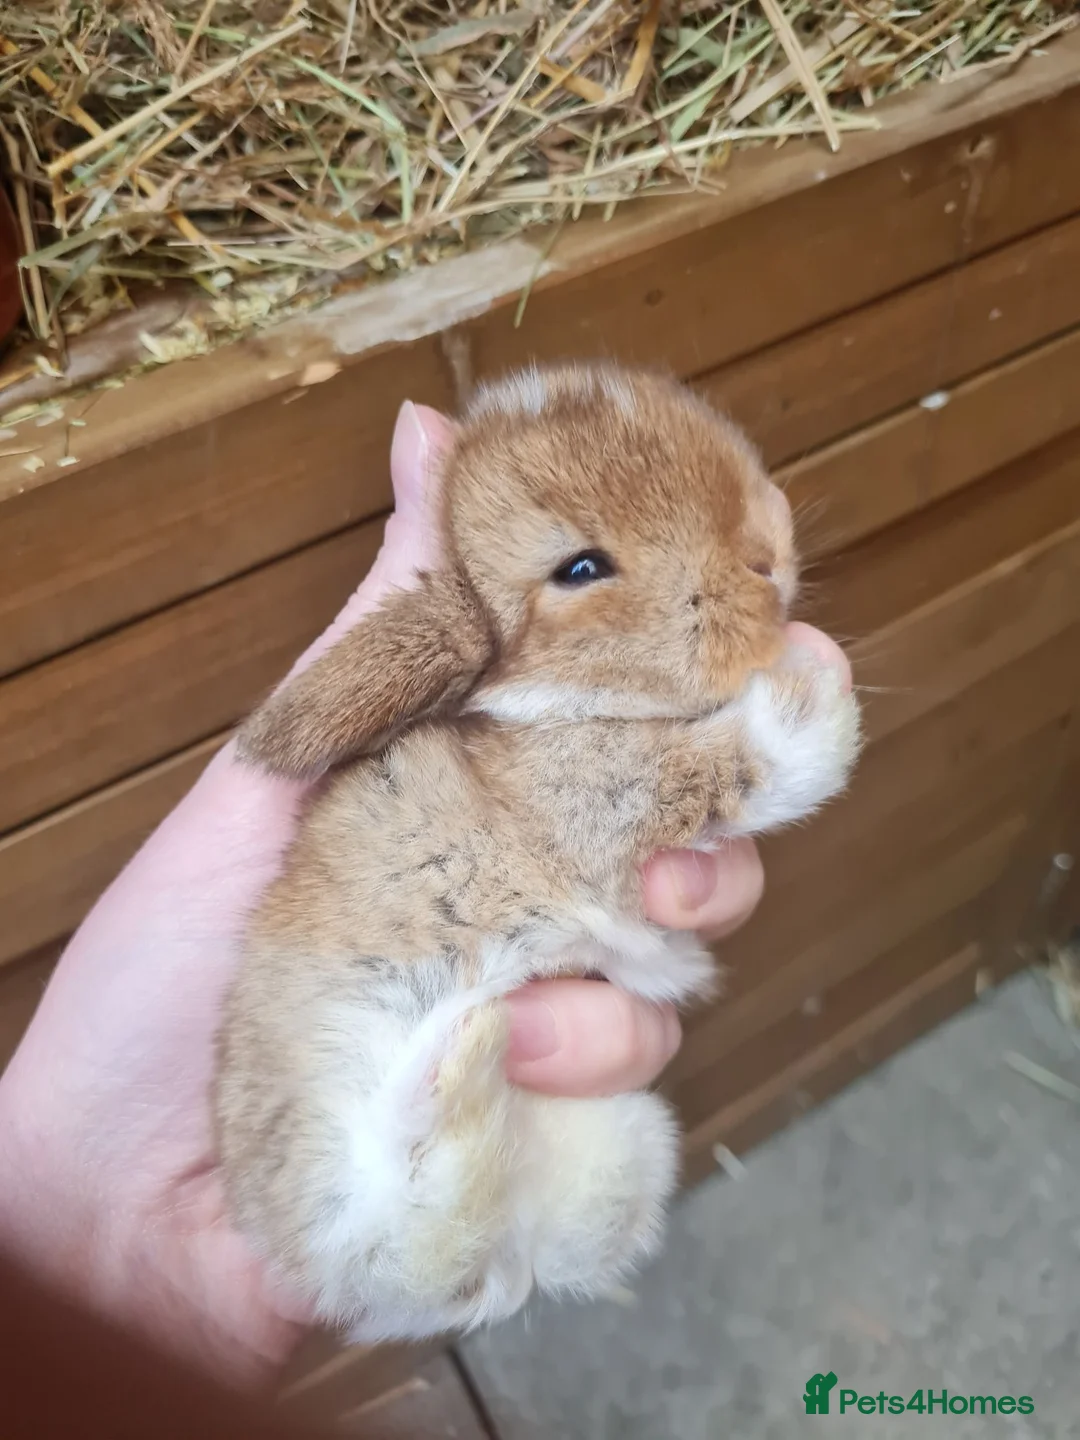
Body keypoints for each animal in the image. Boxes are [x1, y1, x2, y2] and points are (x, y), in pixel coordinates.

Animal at [215, 362, 861, 1344]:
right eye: (580, 568)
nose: (765, 556)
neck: (563, 702)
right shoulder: (599, 808)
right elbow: (726, 768)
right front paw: (813, 694)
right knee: (407, 1223)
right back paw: (459, 1053)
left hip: (622, 1141)